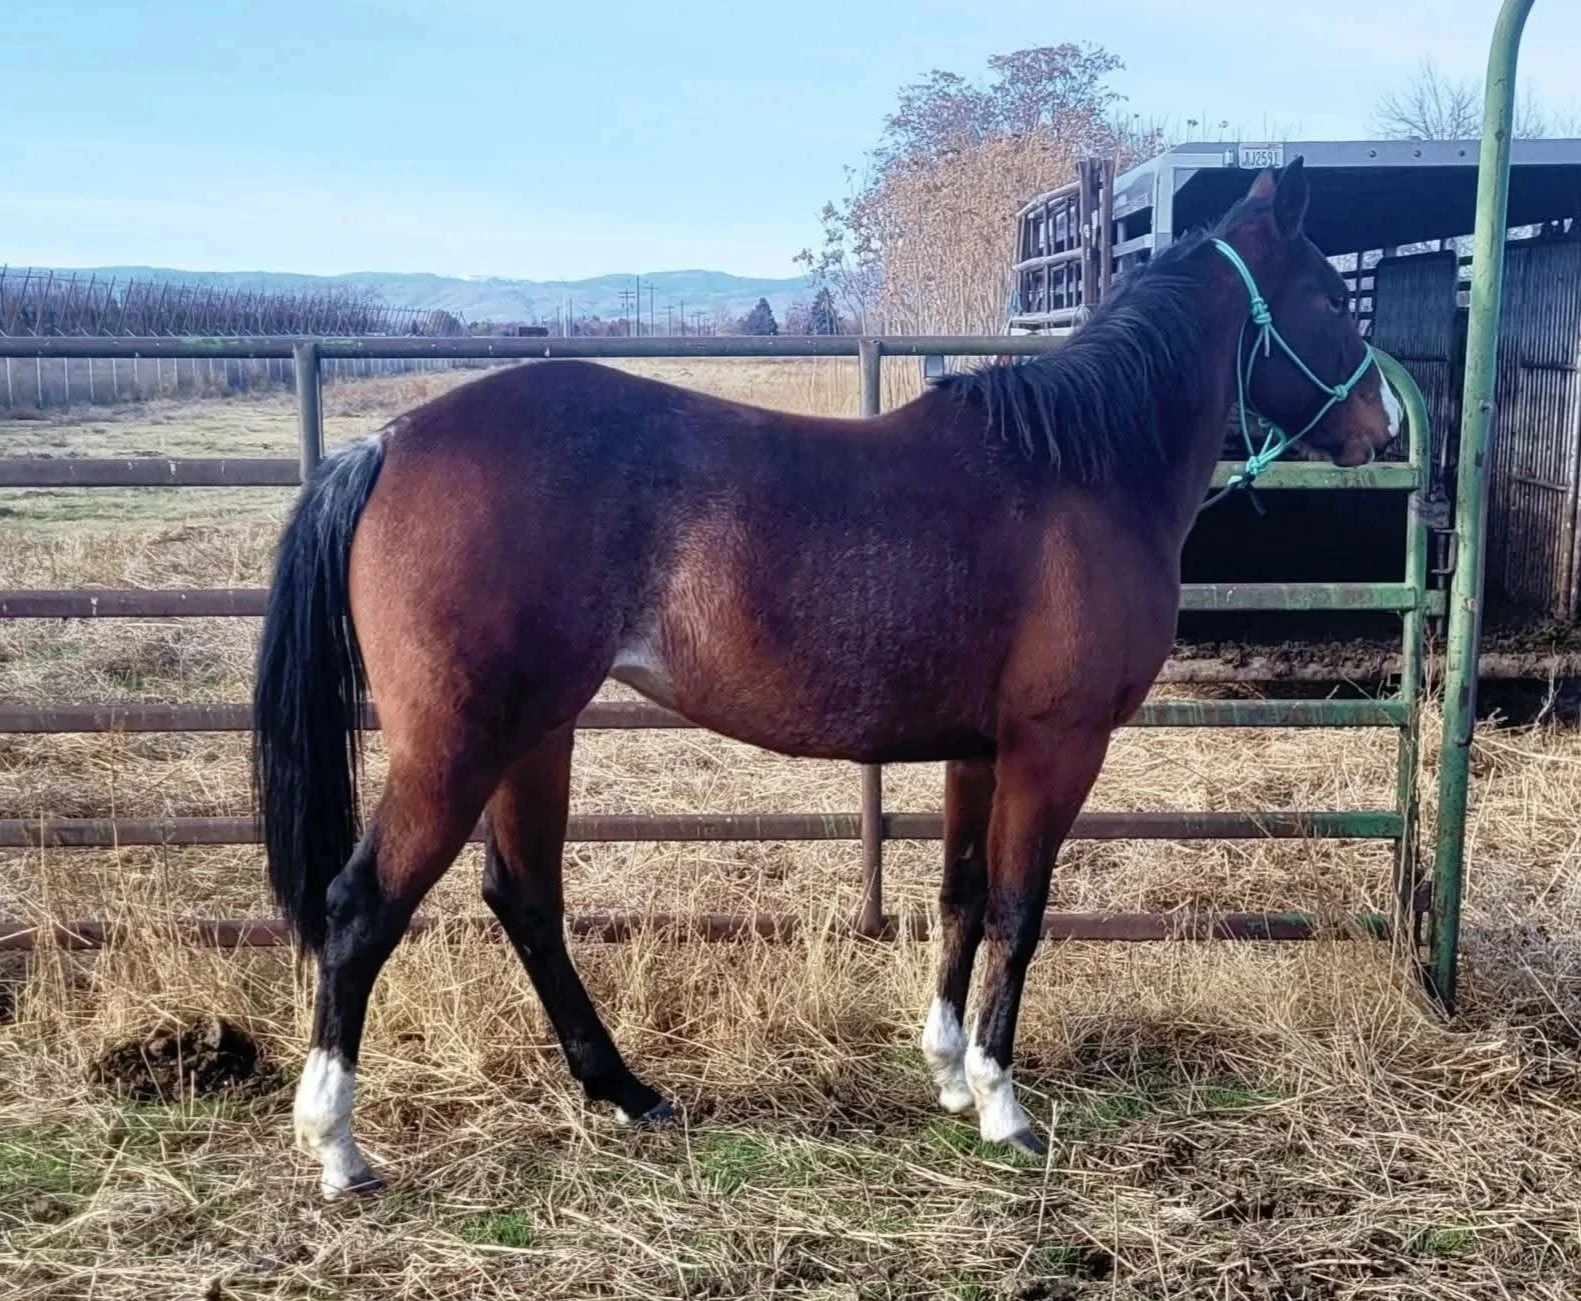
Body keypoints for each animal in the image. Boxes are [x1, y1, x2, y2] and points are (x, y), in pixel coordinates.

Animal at [253, 159, 1399, 1198]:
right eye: (1330, 296)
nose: (1382, 424)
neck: (1081, 472)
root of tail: (389, 441)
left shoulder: (980, 752)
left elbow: (961, 896)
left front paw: (948, 1073)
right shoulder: (1056, 745)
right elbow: (1020, 910)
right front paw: (1003, 1102)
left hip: (536, 731)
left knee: (525, 896)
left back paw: (625, 1090)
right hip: (459, 742)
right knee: (363, 906)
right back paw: (338, 1146)